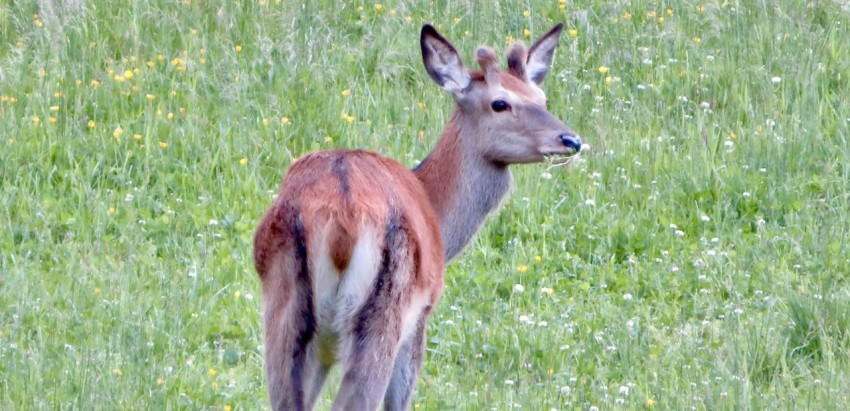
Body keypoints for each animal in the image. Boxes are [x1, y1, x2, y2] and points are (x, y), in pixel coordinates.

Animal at [253, 23, 581, 411]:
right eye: (500, 103)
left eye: (541, 98)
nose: (570, 139)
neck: (436, 210)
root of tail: (341, 222)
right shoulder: (421, 314)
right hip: (385, 312)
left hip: (285, 309)